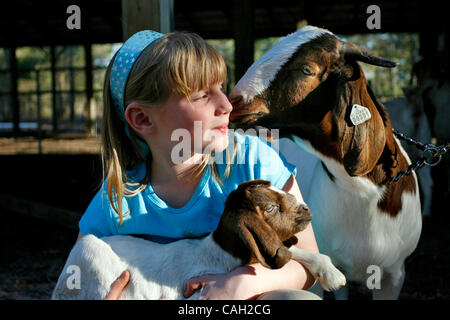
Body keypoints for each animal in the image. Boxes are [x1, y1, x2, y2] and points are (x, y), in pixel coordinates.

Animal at [51, 180, 344, 300]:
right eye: (271, 208)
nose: (306, 209)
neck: (220, 254)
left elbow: (289, 251)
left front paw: (333, 275)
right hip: (89, 254)